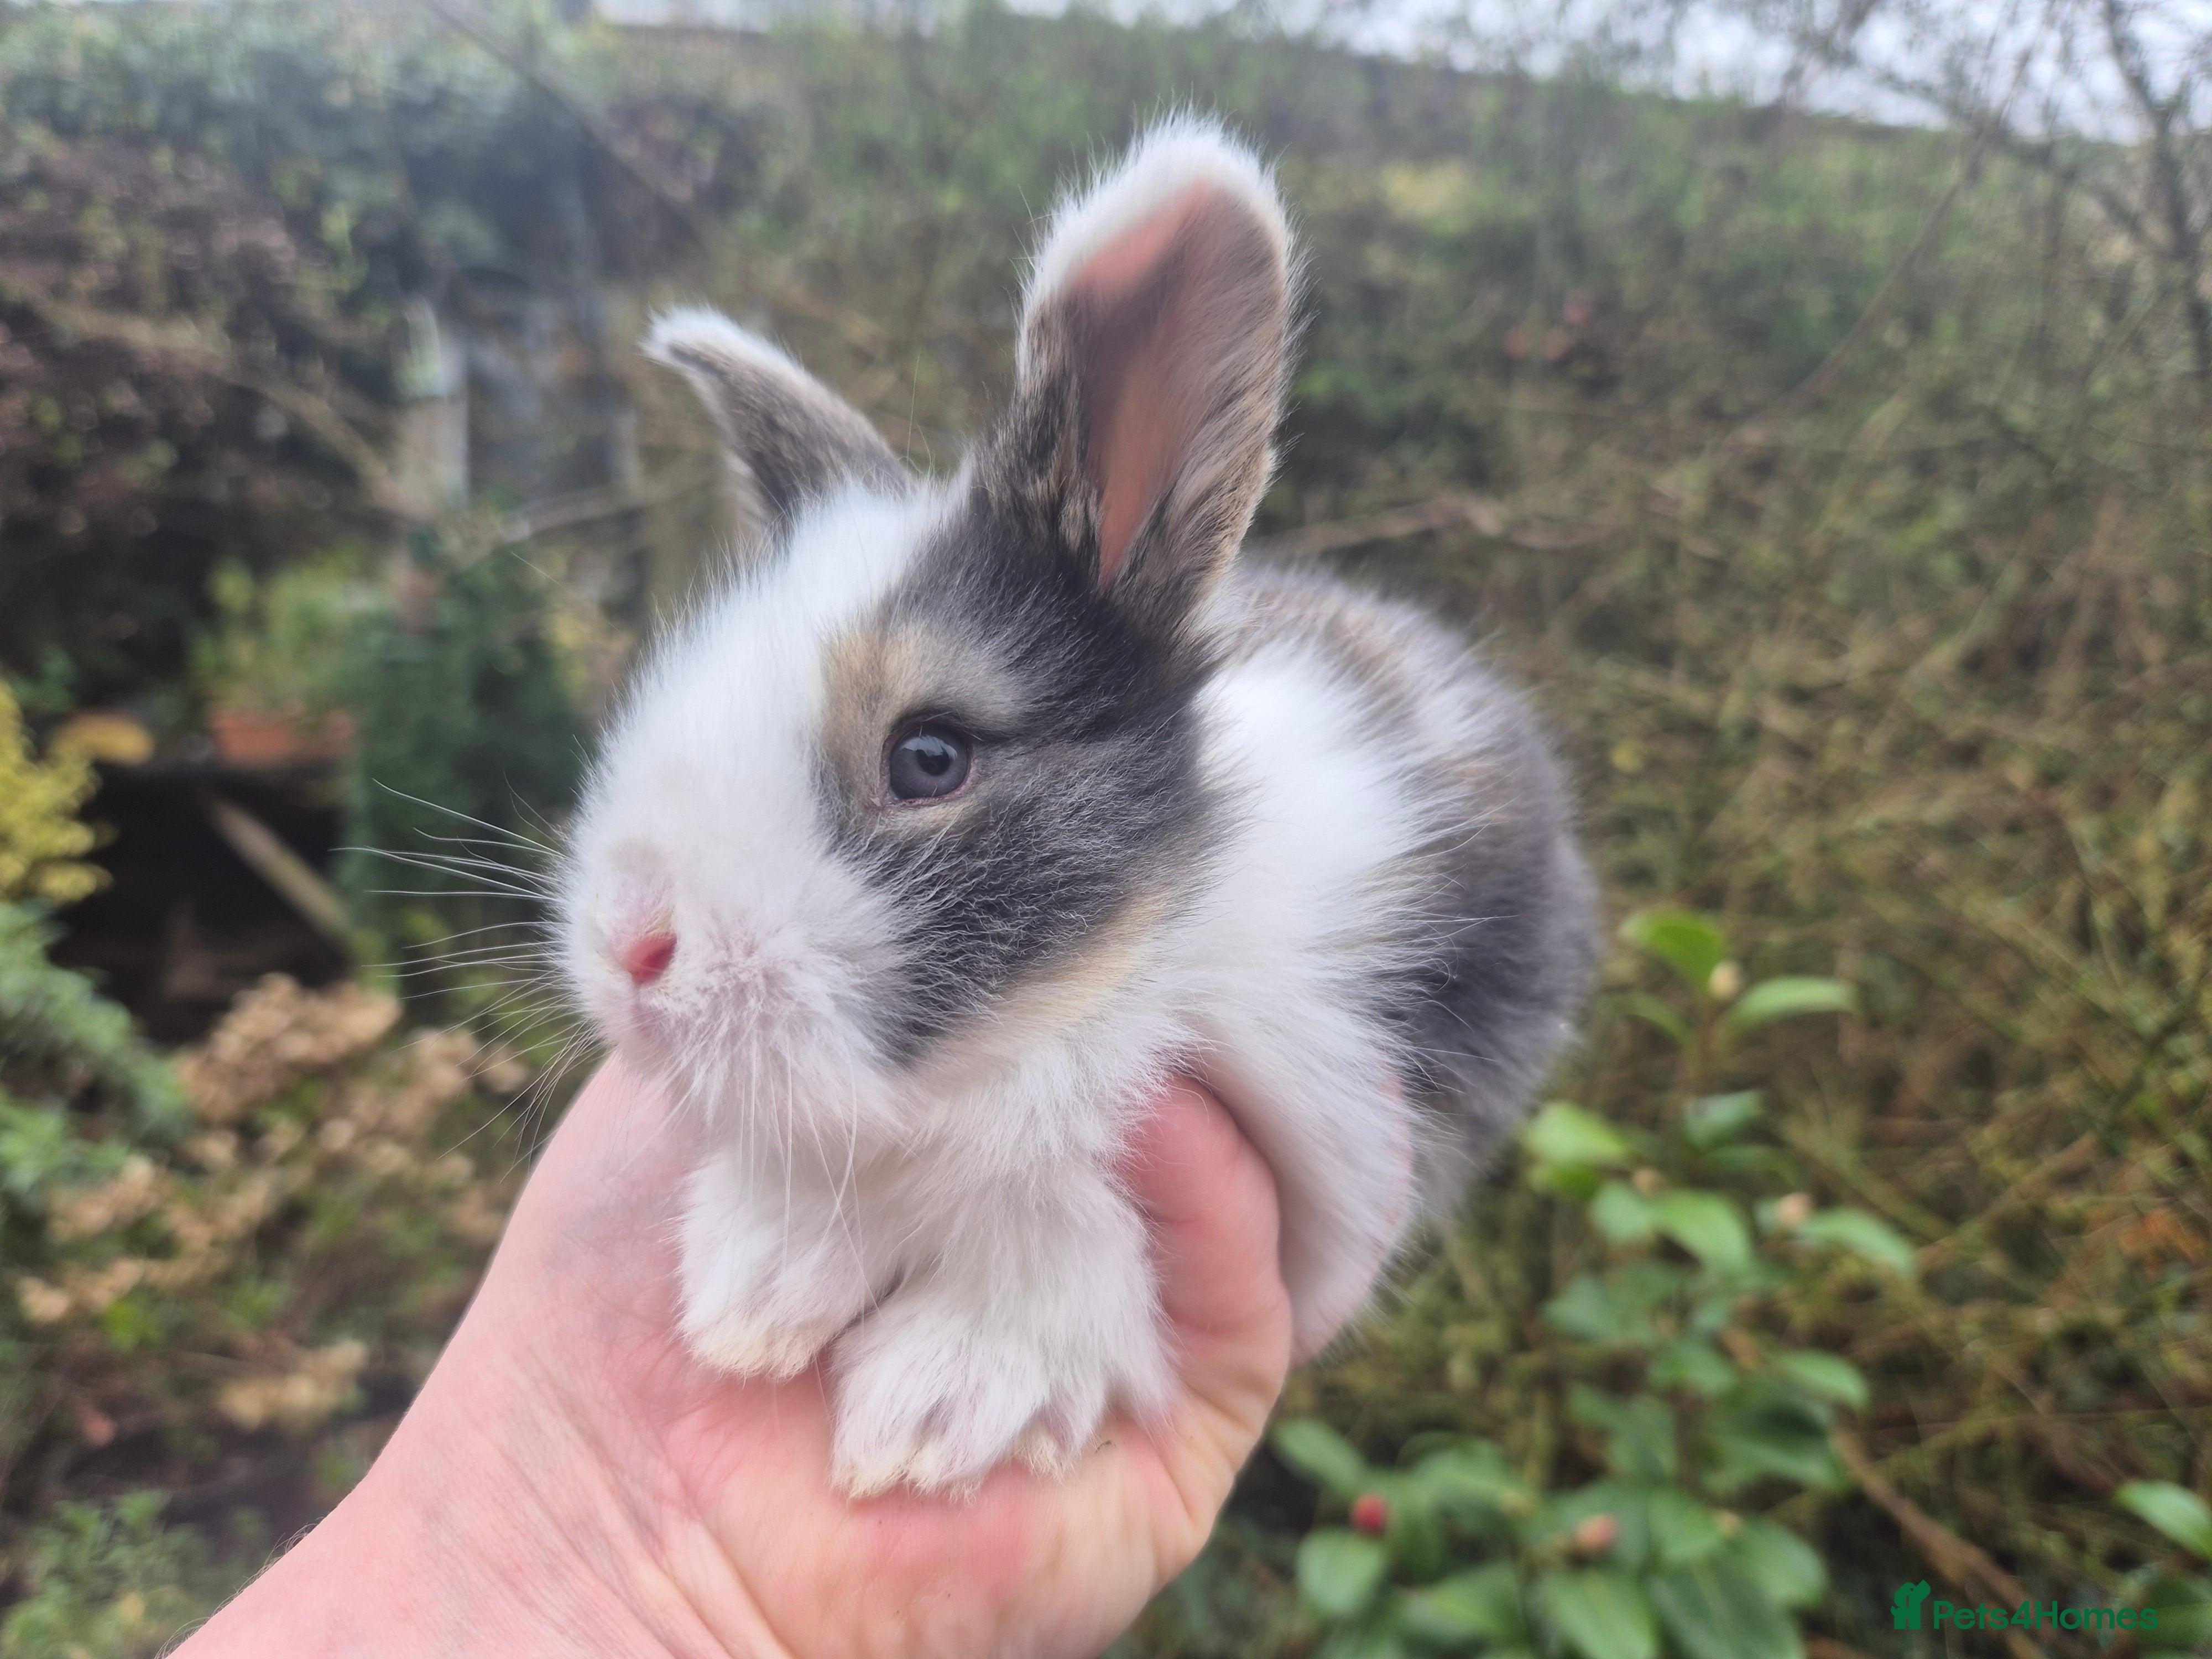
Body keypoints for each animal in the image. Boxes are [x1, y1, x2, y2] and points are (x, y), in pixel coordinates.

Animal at [559, 116, 1599, 1498]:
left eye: (929, 757)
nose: (630, 949)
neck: (1068, 1005)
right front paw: (752, 1291)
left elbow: (1069, 1242)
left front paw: (938, 1406)